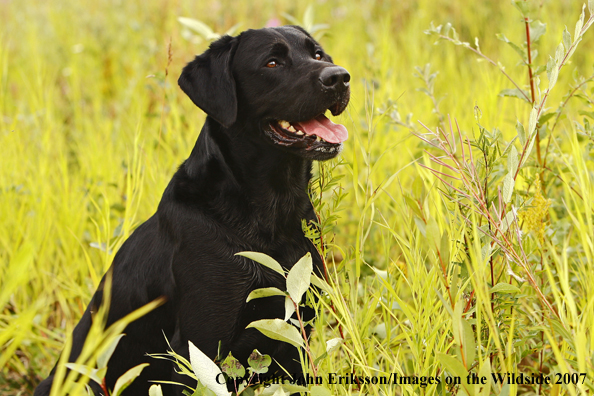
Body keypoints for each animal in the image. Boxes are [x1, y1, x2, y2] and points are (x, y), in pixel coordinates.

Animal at [34, 26, 350, 394]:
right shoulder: (197, 347)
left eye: (318, 54)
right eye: (272, 62)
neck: (269, 213)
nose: (340, 77)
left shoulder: (296, 337)